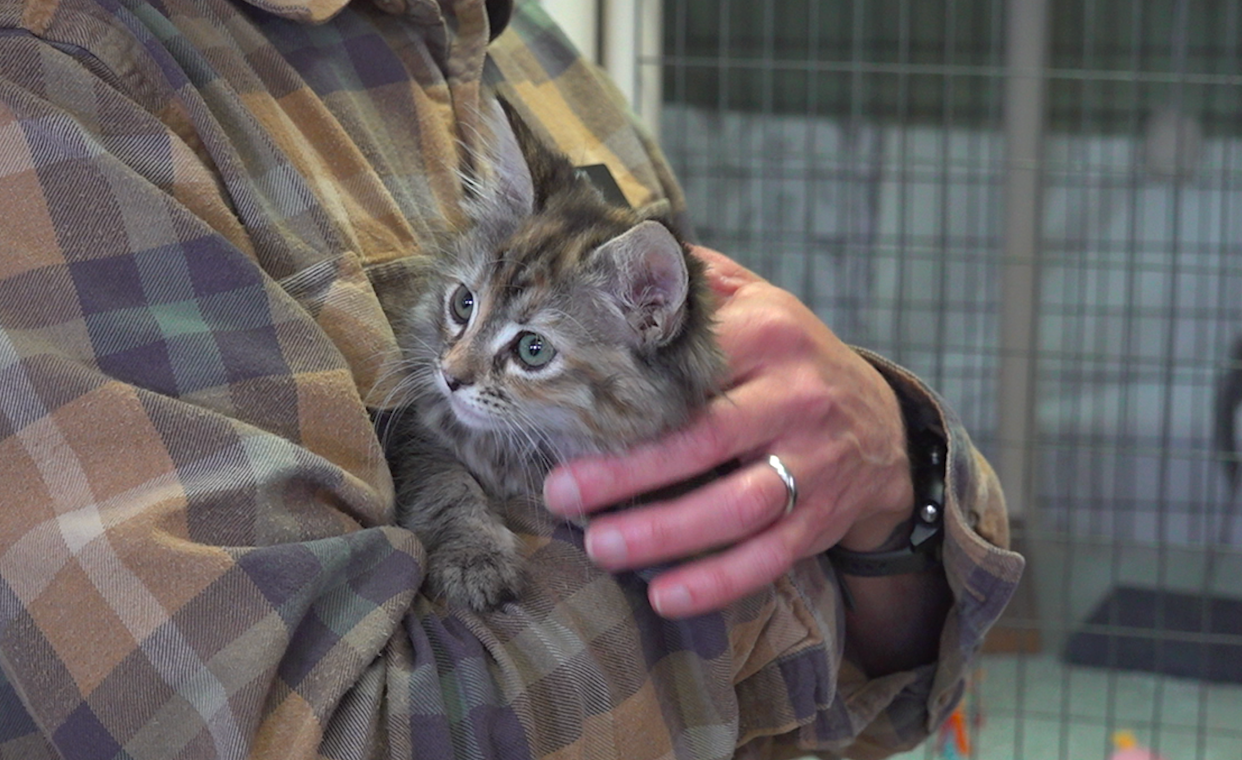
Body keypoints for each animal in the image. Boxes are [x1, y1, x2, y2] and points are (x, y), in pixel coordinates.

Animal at [377, 101, 725, 610]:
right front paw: (474, 558)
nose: (451, 376)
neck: (521, 447)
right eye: (464, 303)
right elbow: (446, 487)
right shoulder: (418, 432)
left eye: (532, 350)